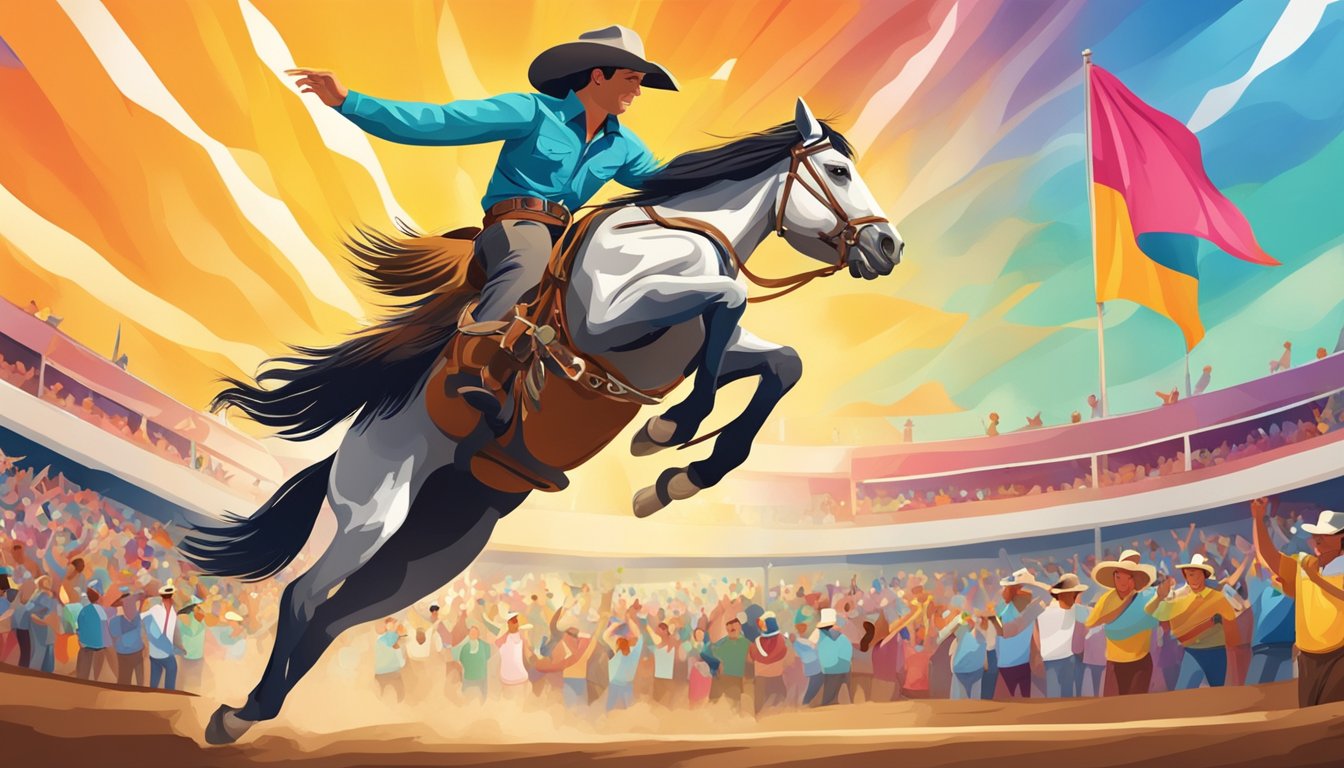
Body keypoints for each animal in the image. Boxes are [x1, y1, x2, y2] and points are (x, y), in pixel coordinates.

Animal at [186, 98, 903, 742]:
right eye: (838, 170)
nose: (889, 245)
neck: (679, 236)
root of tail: (344, 451)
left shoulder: (687, 353)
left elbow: (783, 364)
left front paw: (678, 475)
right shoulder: (613, 318)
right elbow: (728, 300)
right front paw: (669, 432)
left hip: (438, 548)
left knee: (336, 618)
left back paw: (255, 711)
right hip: (374, 512)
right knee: (304, 595)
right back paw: (236, 715)